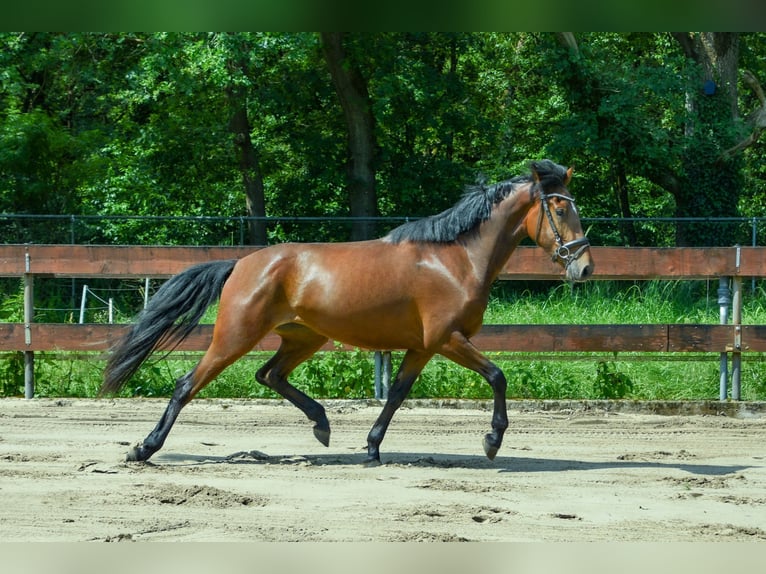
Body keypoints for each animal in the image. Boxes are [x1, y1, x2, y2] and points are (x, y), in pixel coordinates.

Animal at [101, 159, 593, 465]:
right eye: (559, 206)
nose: (584, 266)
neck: (456, 259)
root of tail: (241, 264)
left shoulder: (422, 347)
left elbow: (396, 394)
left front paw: (373, 449)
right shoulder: (447, 339)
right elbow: (497, 376)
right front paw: (492, 441)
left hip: (304, 336)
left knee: (269, 374)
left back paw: (322, 425)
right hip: (235, 336)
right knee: (188, 384)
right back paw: (143, 449)